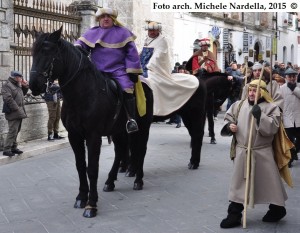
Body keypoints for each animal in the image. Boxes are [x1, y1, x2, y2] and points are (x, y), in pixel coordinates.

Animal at [29, 27, 154, 218]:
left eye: (47, 51)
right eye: (33, 52)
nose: (34, 85)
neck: (82, 94)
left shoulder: (93, 136)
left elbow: (92, 169)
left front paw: (91, 204)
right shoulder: (75, 136)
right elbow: (81, 166)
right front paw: (81, 197)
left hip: (142, 129)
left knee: (140, 150)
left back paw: (138, 180)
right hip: (118, 131)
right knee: (120, 151)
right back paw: (110, 181)